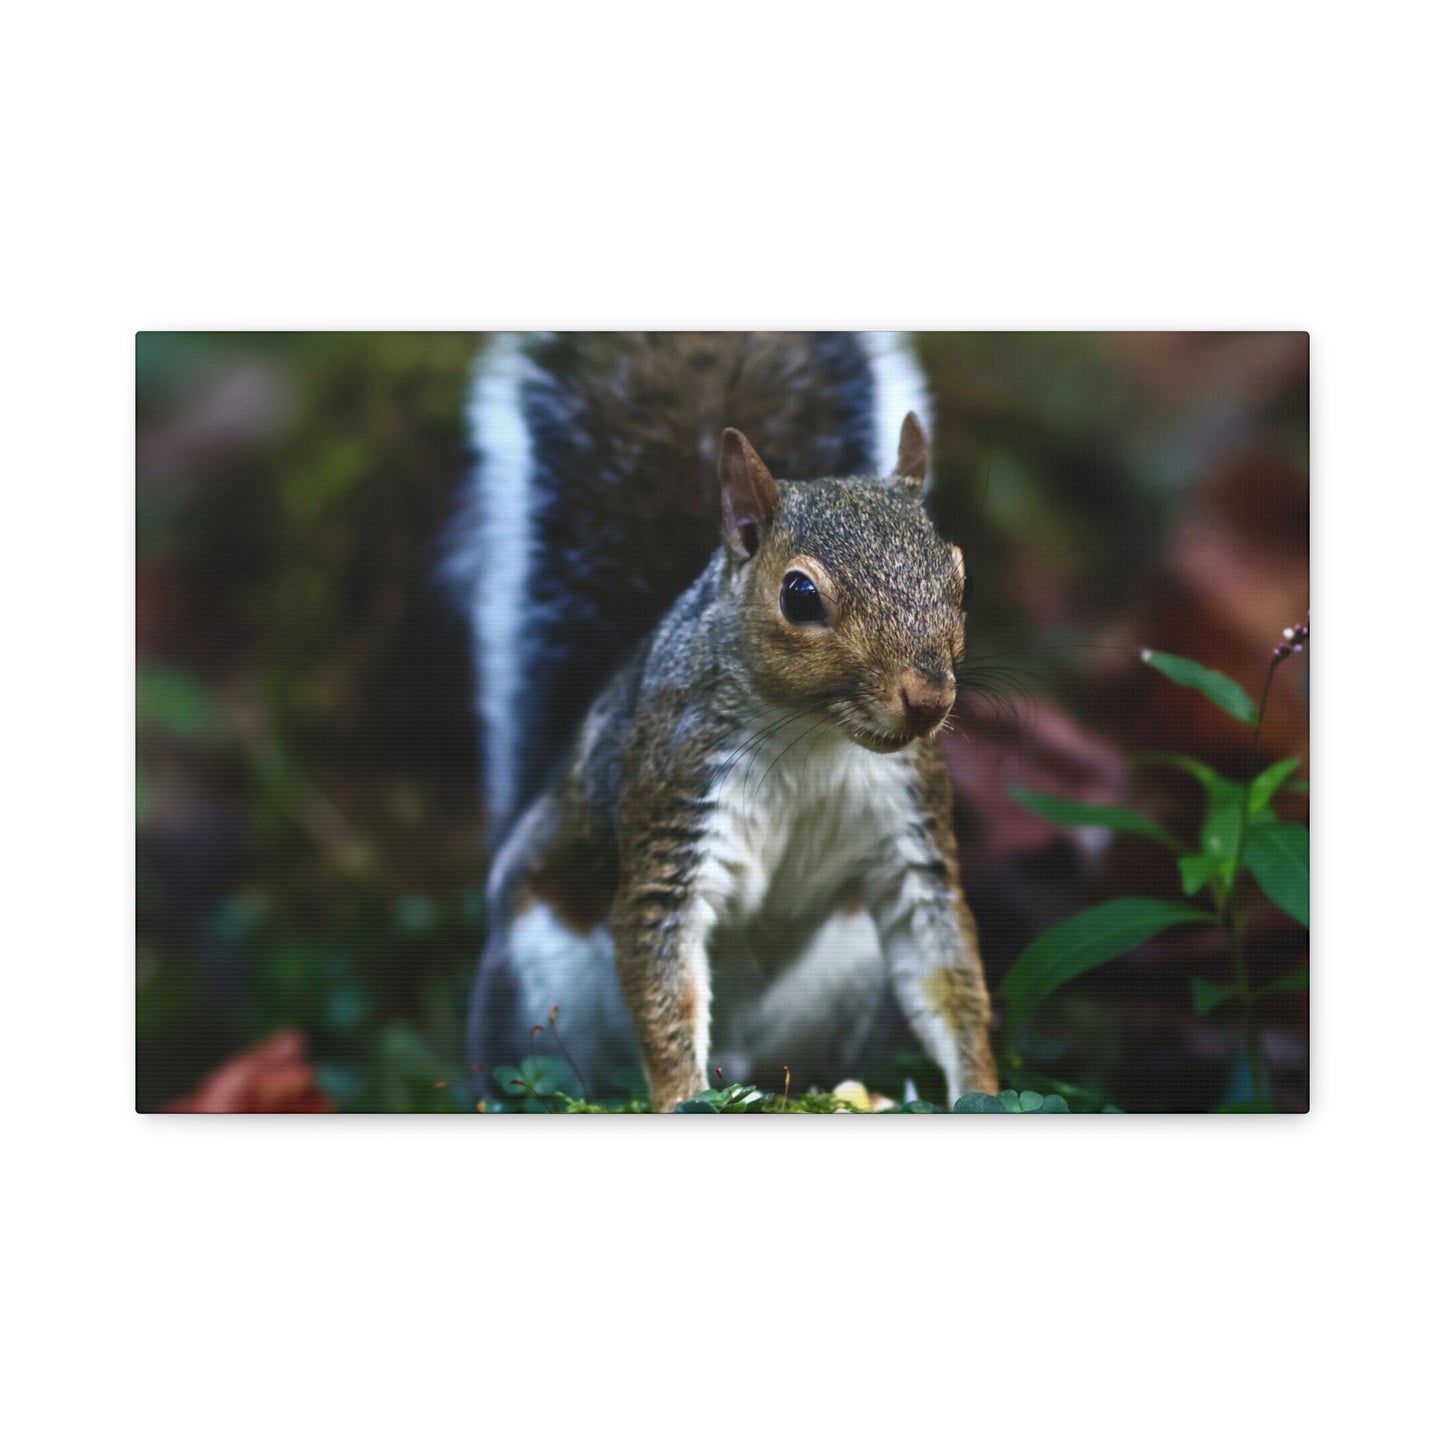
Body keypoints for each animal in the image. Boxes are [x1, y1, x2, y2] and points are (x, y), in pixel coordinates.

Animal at [451, 332, 998, 1111]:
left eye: (963, 579)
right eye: (799, 595)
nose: (928, 699)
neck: (813, 737)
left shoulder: (910, 826)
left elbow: (946, 972)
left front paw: (980, 1089)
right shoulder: (675, 796)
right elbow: (665, 983)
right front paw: (681, 1097)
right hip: (534, 972)